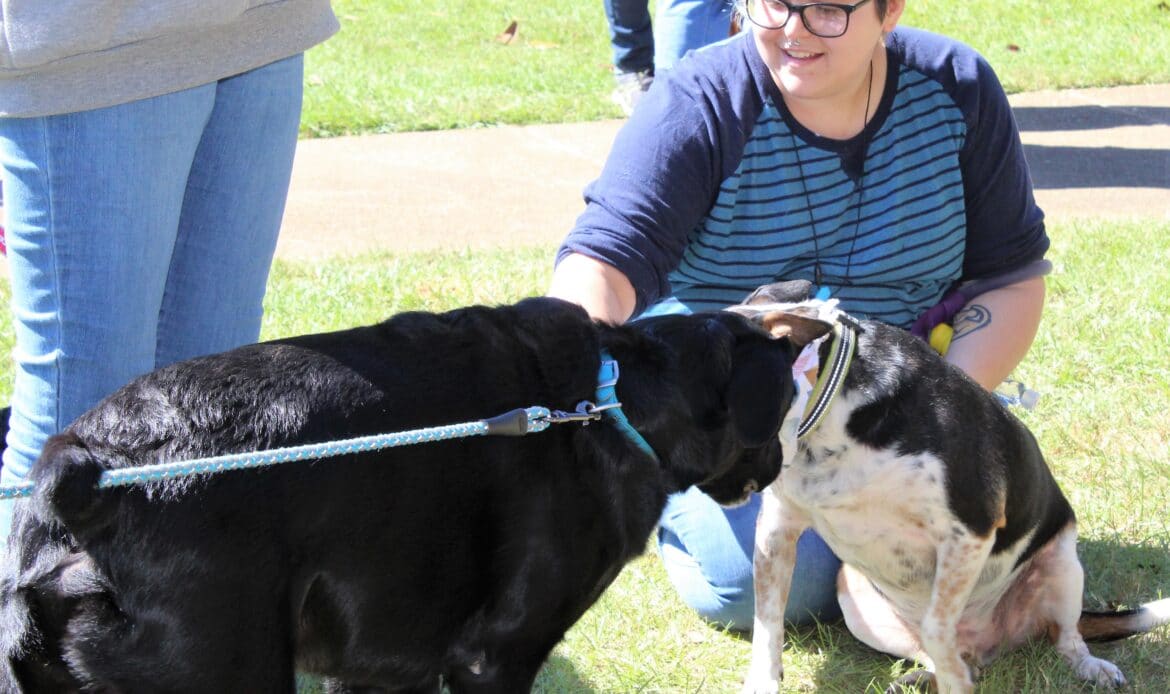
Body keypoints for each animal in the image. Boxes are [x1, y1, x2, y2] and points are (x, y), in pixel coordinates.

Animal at [0, 297, 799, 693]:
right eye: (789, 401)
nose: (783, 461)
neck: (616, 399)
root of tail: (88, 467)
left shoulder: (385, 664)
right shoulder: (493, 659)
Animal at [731, 281, 1170, 694]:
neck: (830, 408)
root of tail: (989, 645)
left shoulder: (969, 532)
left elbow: (937, 626)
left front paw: (956, 682)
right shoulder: (776, 532)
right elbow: (768, 621)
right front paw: (762, 681)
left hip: (1060, 567)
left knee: (1067, 637)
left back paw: (1090, 666)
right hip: (855, 597)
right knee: (938, 652)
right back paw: (925, 676)